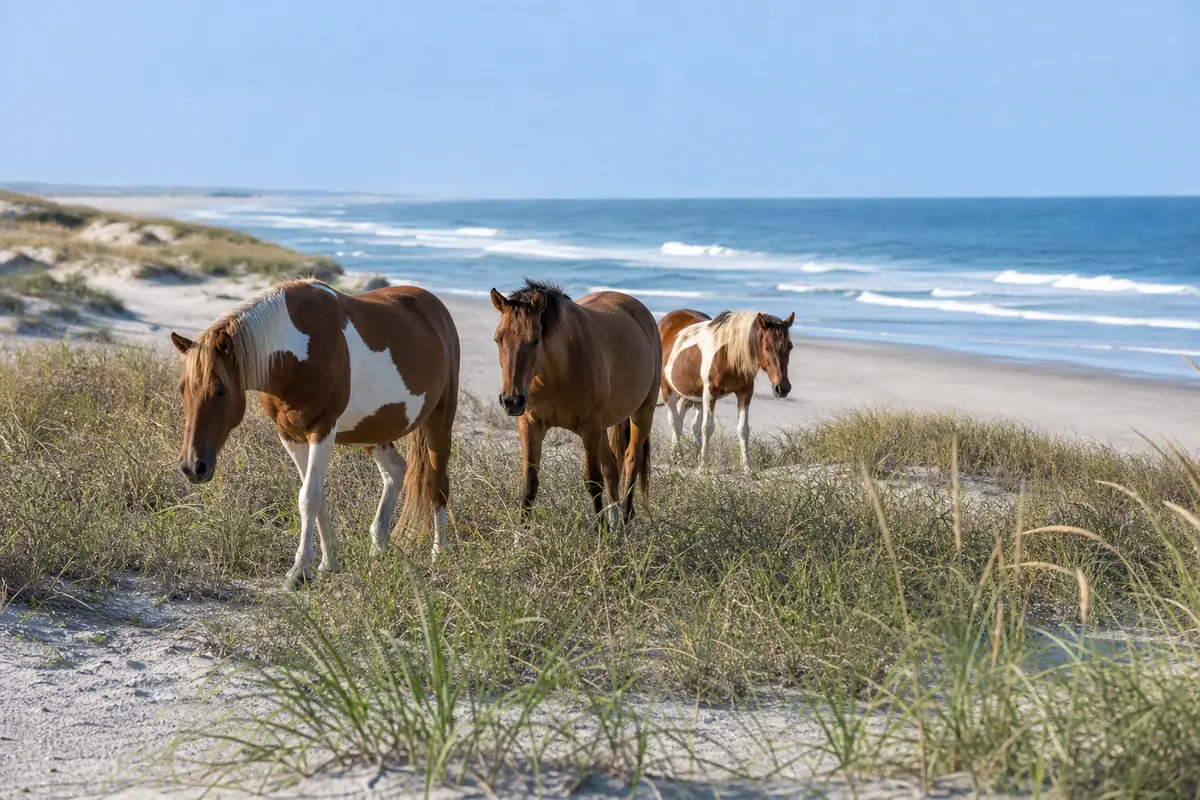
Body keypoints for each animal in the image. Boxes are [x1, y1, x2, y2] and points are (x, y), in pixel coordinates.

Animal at [169, 278, 459, 588]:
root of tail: (436, 307)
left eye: (221, 390)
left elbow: (308, 497)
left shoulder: (323, 430)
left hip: (439, 422)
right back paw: (377, 554)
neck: (297, 354)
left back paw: (439, 555)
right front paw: (327, 562)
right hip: (372, 432)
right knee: (395, 471)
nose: (193, 466)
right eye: (182, 389)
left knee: (438, 484)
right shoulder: (290, 435)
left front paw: (299, 571)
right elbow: (316, 496)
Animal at [489, 279, 661, 528]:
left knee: (631, 459)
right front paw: (521, 534)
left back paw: (625, 518)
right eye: (498, 339)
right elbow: (529, 484)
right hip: (604, 427)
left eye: (535, 340)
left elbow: (593, 481)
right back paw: (615, 520)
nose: (511, 400)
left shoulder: (589, 428)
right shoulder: (530, 425)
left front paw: (601, 532)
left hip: (642, 413)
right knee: (612, 466)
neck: (556, 373)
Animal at [659, 308, 794, 471]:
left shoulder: (745, 392)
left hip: (691, 394)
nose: (782, 388)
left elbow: (743, 429)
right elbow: (707, 427)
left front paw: (747, 467)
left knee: (687, 421)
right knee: (675, 421)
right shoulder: (709, 393)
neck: (730, 354)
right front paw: (703, 467)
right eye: (767, 347)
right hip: (667, 388)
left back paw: (681, 455)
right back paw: (678, 456)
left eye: (790, 347)